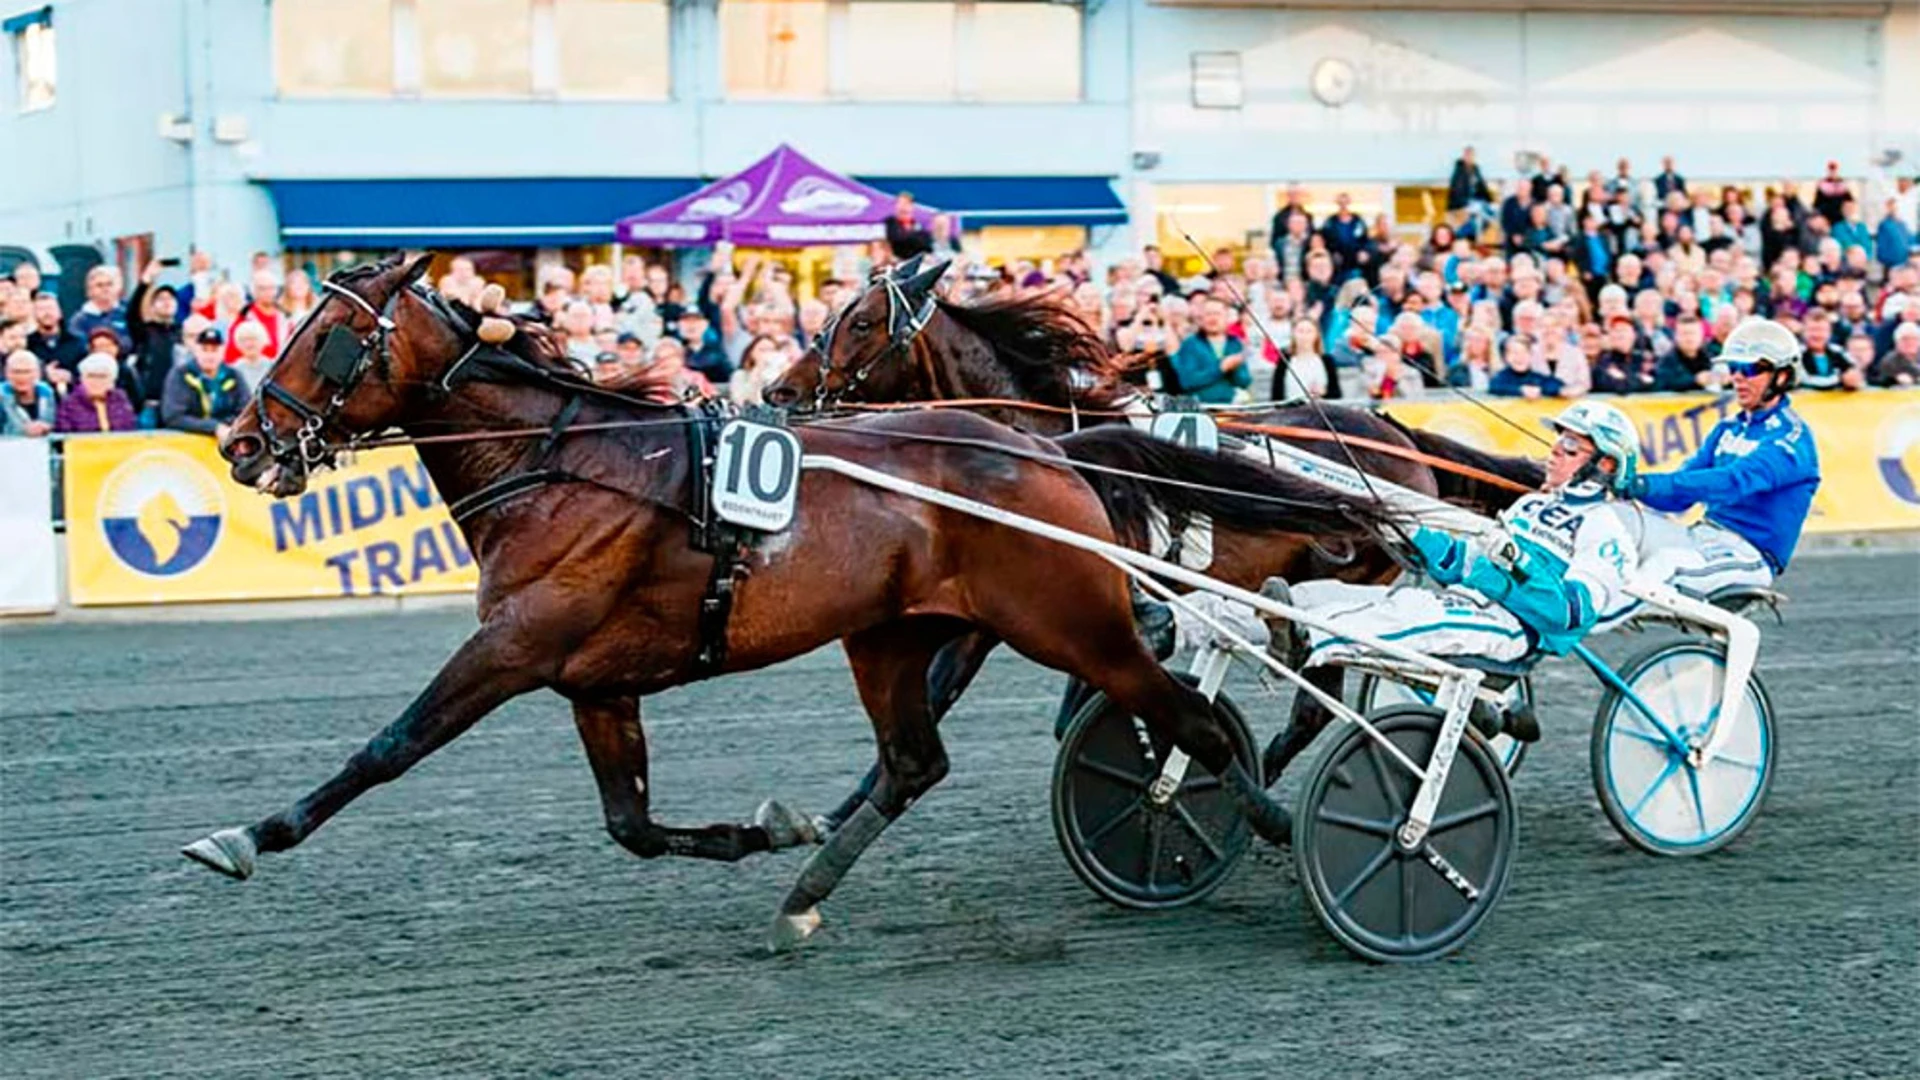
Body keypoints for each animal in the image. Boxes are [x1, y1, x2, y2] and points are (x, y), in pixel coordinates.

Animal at [183, 249, 1413, 941]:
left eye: (331, 339)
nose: (243, 443)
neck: (559, 465)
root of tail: (1046, 454)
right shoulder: (592, 680)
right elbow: (633, 825)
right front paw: (770, 831)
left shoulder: (516, 648)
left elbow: (385, 749)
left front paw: (247, 835)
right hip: (894, 635)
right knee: (919, 760)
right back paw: (807, 888)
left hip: (1069, 622)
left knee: (1192, 716)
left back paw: (1272, 818)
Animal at [764, 261, 1543, 780]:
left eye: (861, 322)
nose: (778, 390)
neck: (1049, 440)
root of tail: (1394, 430)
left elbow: (956, 685)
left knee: (1321, 698)